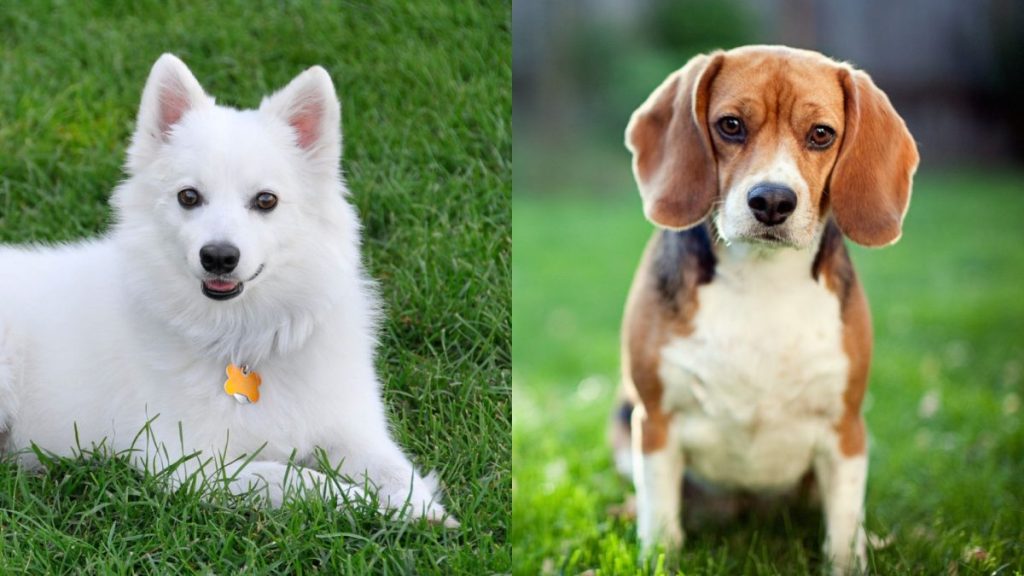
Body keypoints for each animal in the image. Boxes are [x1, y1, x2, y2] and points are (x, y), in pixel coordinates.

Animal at [0, 54, 456, 524]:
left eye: (265, 200)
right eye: (188, 196)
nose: (218, 257)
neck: (243, 338)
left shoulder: (354, 430)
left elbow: (395, 469)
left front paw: (418, 506)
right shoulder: (190, 465)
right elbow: (300, 480)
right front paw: (368, 503)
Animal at [614, 43, 921, 569]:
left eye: (821, 134)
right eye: (730, 125)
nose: (773, 201)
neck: (761, 278)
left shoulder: (845, 431)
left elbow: (844, 531)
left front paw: (849, 560)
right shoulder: (654, 422)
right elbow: (662, 527)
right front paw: (659, 557)